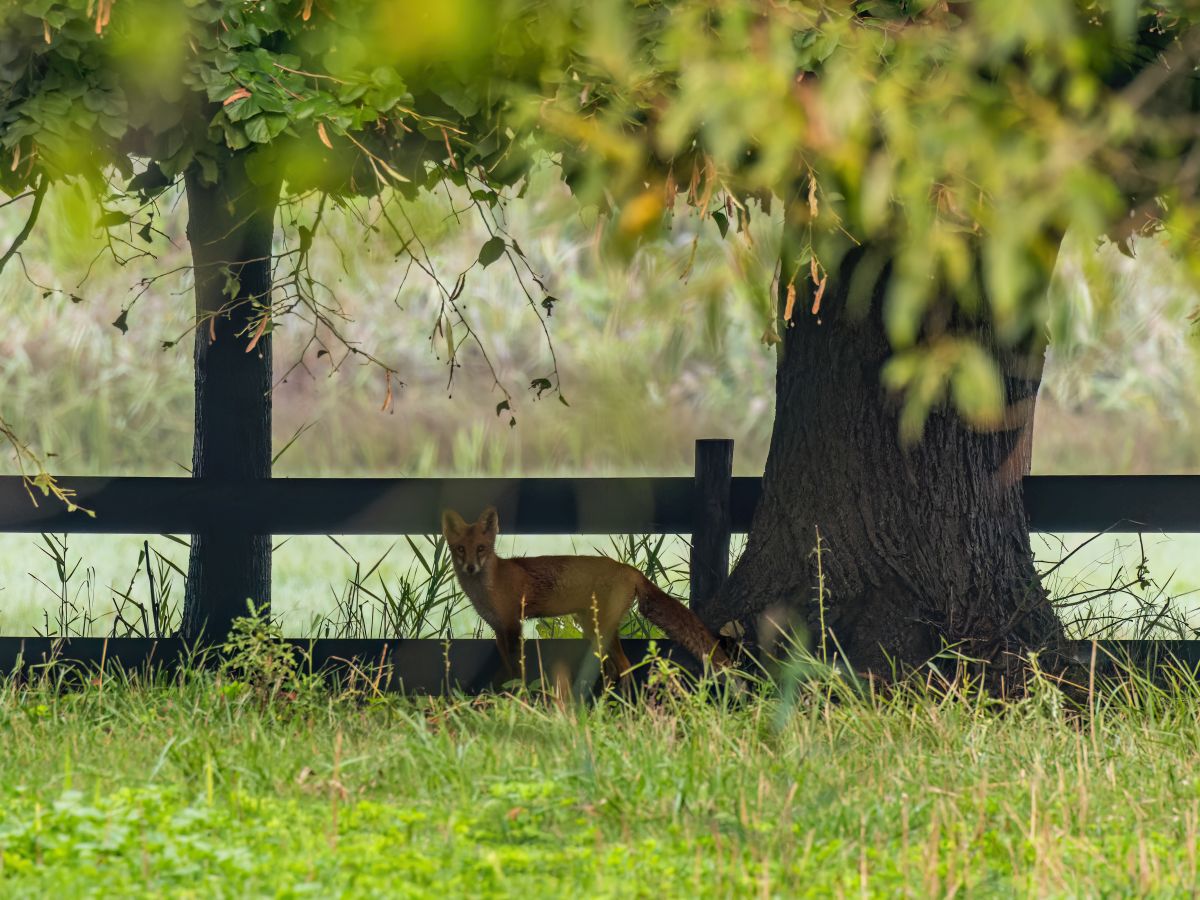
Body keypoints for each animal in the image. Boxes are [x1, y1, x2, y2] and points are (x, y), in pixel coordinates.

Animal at [441, 508, 729, 681]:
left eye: (480, 548)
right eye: (460, 549)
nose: (470, 568)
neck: (488, 586)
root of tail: (627, 568)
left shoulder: (513, 626)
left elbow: (518, 670)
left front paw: (518, 698)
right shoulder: (499, 630)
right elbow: (508, 669)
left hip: (599, 627)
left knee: (624, 667)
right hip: (593, 628)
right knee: (613, 668)